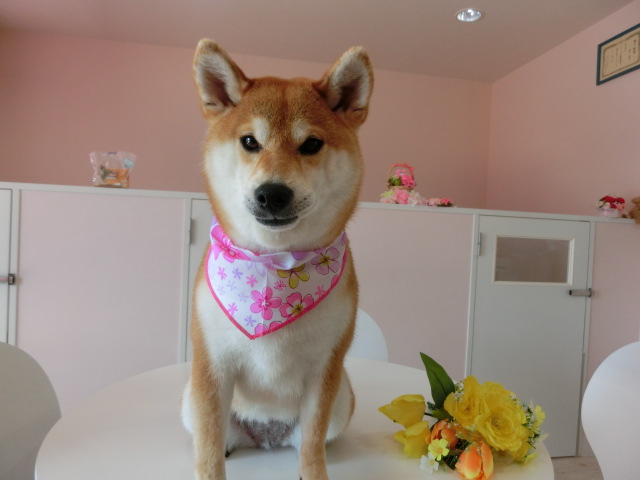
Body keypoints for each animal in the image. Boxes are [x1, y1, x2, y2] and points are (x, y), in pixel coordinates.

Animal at [181, 39, 373, 480]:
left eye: (312, 144)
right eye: (250, 142)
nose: (272, 193)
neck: (275, 264)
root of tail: (265, 436)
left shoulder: (325, 369)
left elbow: (313, 445)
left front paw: (313, 472)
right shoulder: (212, 366)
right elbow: (208, 452)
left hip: (343, 399)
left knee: (310, 440)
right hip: (190, 398)